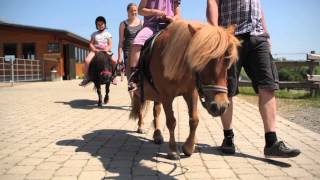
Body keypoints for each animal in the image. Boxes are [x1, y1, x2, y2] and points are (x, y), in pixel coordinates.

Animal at [130, 20, 240, 160]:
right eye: (201, 59)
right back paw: (141, 127)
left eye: (227, 60)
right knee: (140, 110)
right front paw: (172, 150)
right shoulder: (166, 96)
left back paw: (158, 135)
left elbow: (194, 120)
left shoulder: (191, 93)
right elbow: (171, 121)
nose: (220, 106)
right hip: (139, 93)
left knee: (156, 111)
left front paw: (188, 147)